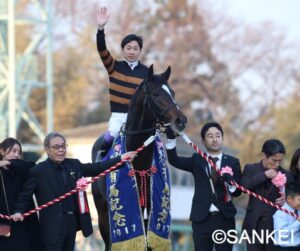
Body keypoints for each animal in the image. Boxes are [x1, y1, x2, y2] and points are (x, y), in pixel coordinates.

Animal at [90, 64, 186, 249]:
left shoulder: (150, 206)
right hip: (102, 211)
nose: (181, 121)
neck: (140, 161)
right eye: (155, 93)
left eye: (173, 92)